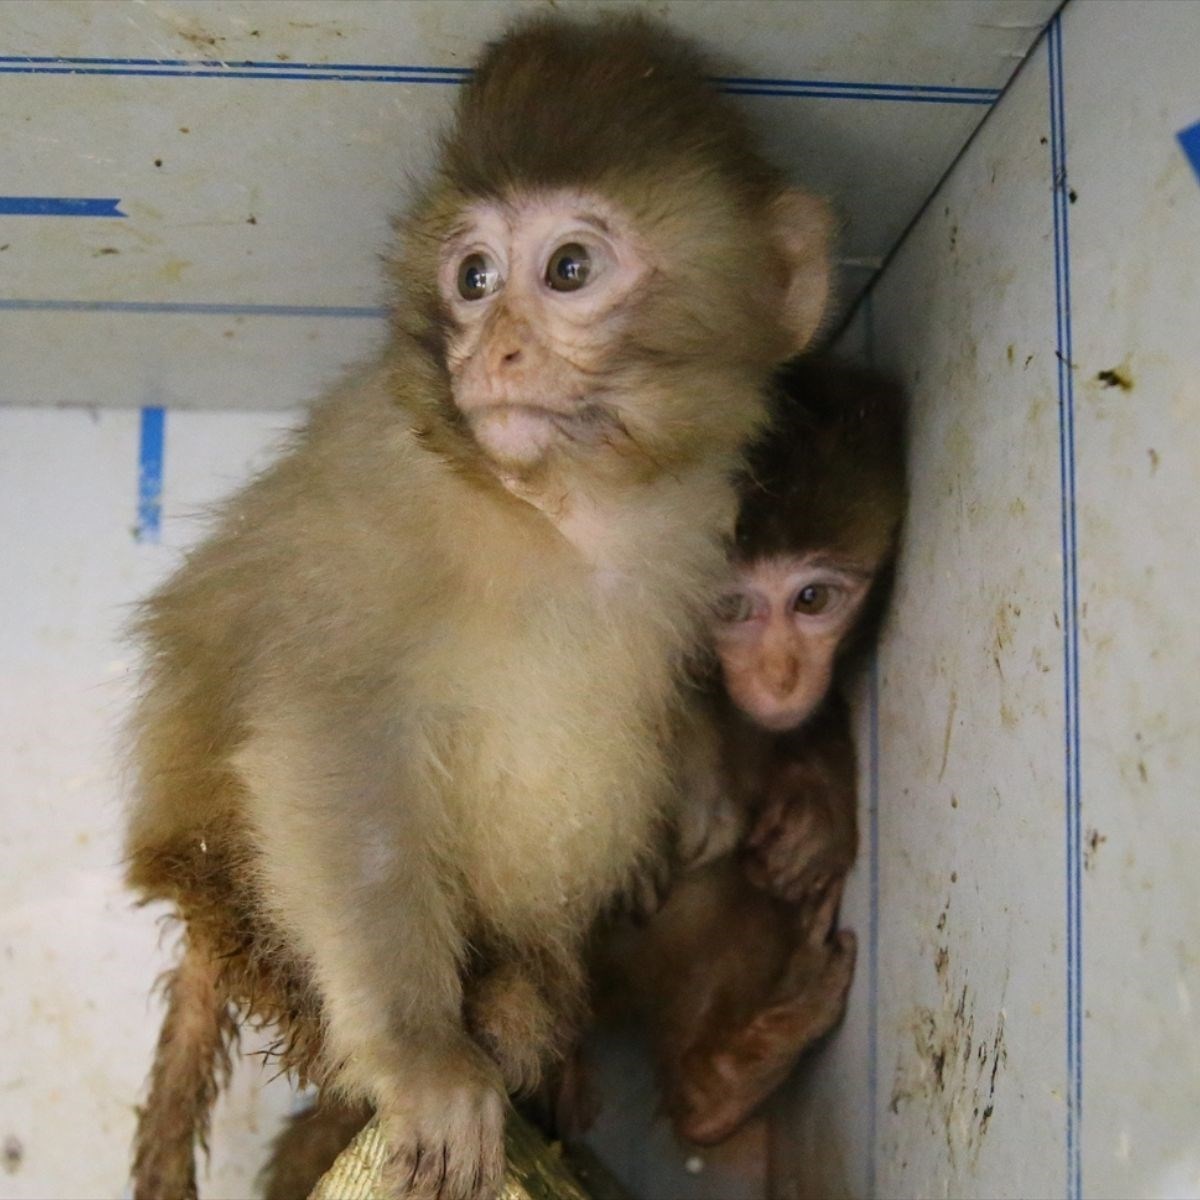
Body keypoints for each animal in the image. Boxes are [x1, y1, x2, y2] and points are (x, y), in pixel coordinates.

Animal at [124, 16, 835, 1200]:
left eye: (569, 270)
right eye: (473, 276)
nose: (492, 349)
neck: (561, 510)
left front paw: (698, 780)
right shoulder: (381, 492)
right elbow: (332, 742)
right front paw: (426, 1061)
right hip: (233, 901)